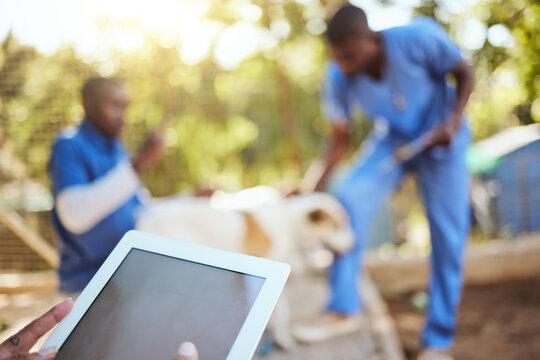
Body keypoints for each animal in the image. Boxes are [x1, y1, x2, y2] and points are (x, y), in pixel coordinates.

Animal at [135, 187, 354, 350]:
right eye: (337, 227)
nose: (353, 245)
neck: (289, 223)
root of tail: (147, 217)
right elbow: (277, 309)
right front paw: (280, 336)